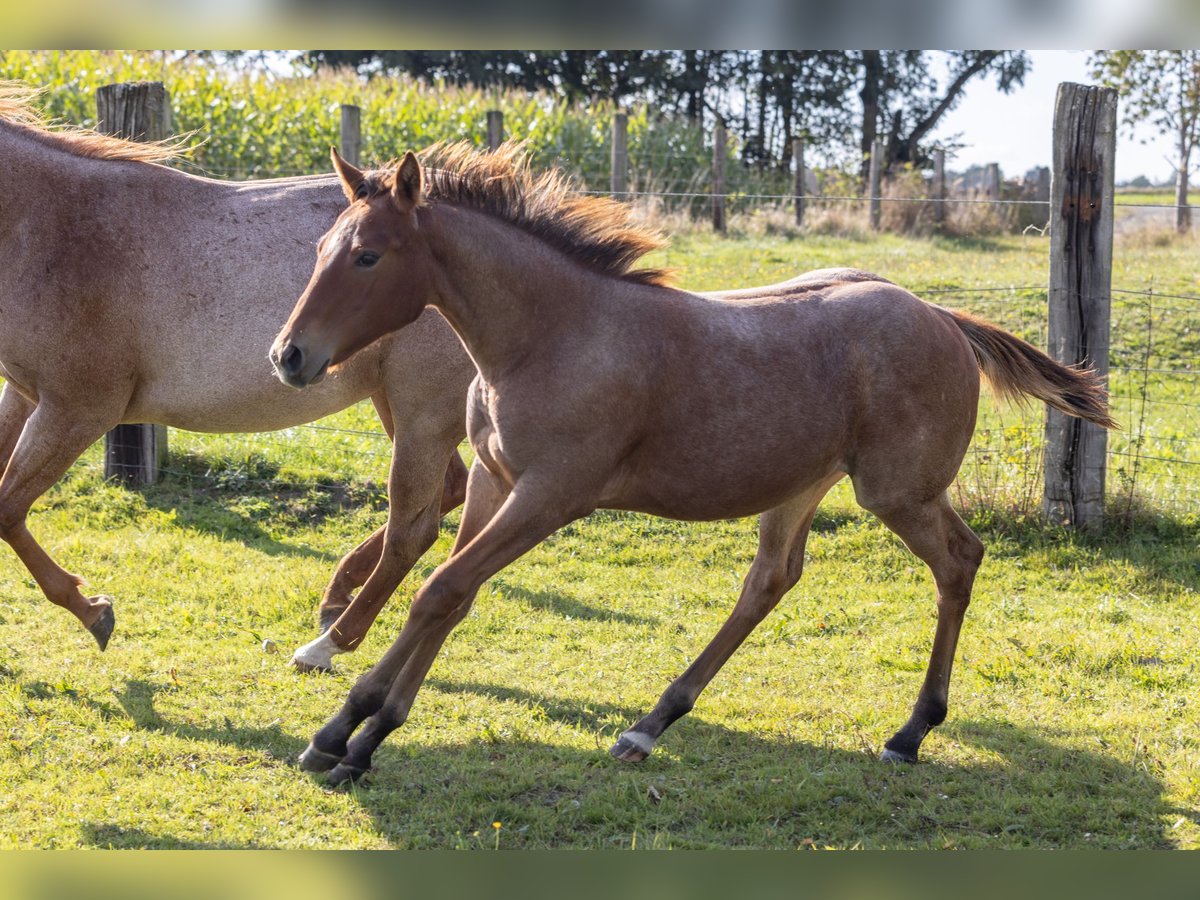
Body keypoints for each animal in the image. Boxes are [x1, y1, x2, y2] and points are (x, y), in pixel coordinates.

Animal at [0, 84, 475, 672]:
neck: (47, 225)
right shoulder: (22, 394)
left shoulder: (77, 409)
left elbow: (7, 508)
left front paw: (95, 612)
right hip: (398, 403)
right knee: (446, 493)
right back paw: (333, 599)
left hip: (421, 410)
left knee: (416, 525)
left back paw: (328, 640)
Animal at [272, 144, 1113, 787]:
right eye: (317, 251)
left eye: (368, 255)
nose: (288, 356)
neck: (550, 335)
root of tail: (944, 317)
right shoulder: (492, 480)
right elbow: (452, 595)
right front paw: (356, 735)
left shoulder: (551, 496)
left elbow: (442, 589)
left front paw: (350, 731)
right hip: (803, 483)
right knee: (771, 580)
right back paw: (649, 724)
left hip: (896, 491)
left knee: (960, 560)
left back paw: (910, 732)